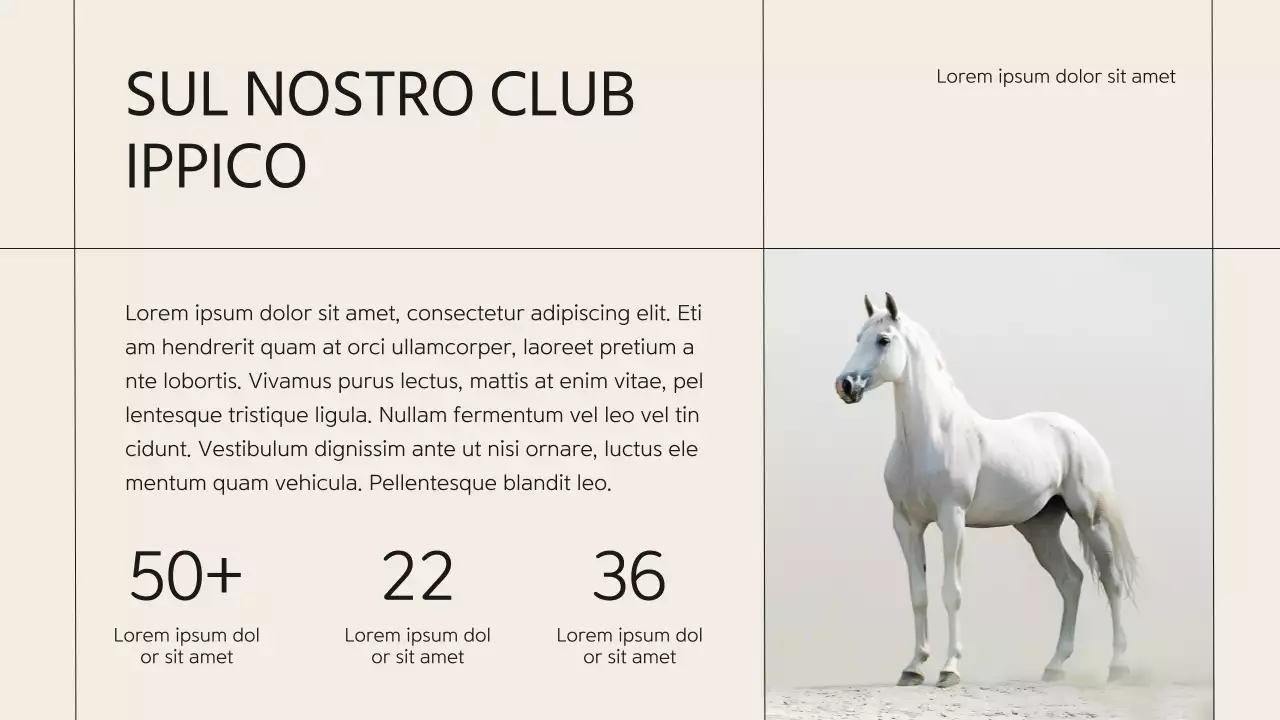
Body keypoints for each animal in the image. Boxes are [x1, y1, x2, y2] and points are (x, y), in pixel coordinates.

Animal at [833, 293, 1138, 688]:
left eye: (883, 339)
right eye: (858, 338)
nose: (845, 385)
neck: (930, 437)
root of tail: (1078, 433)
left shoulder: (952, 519)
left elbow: (951, 592)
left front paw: (949, 669)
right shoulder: (906, 524)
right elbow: (919, 595)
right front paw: (913, 668)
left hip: (1089, 518)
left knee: (1111, 580)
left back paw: (1118, 666)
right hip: (1039, 528)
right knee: (1071, 580)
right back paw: (1055, 666)